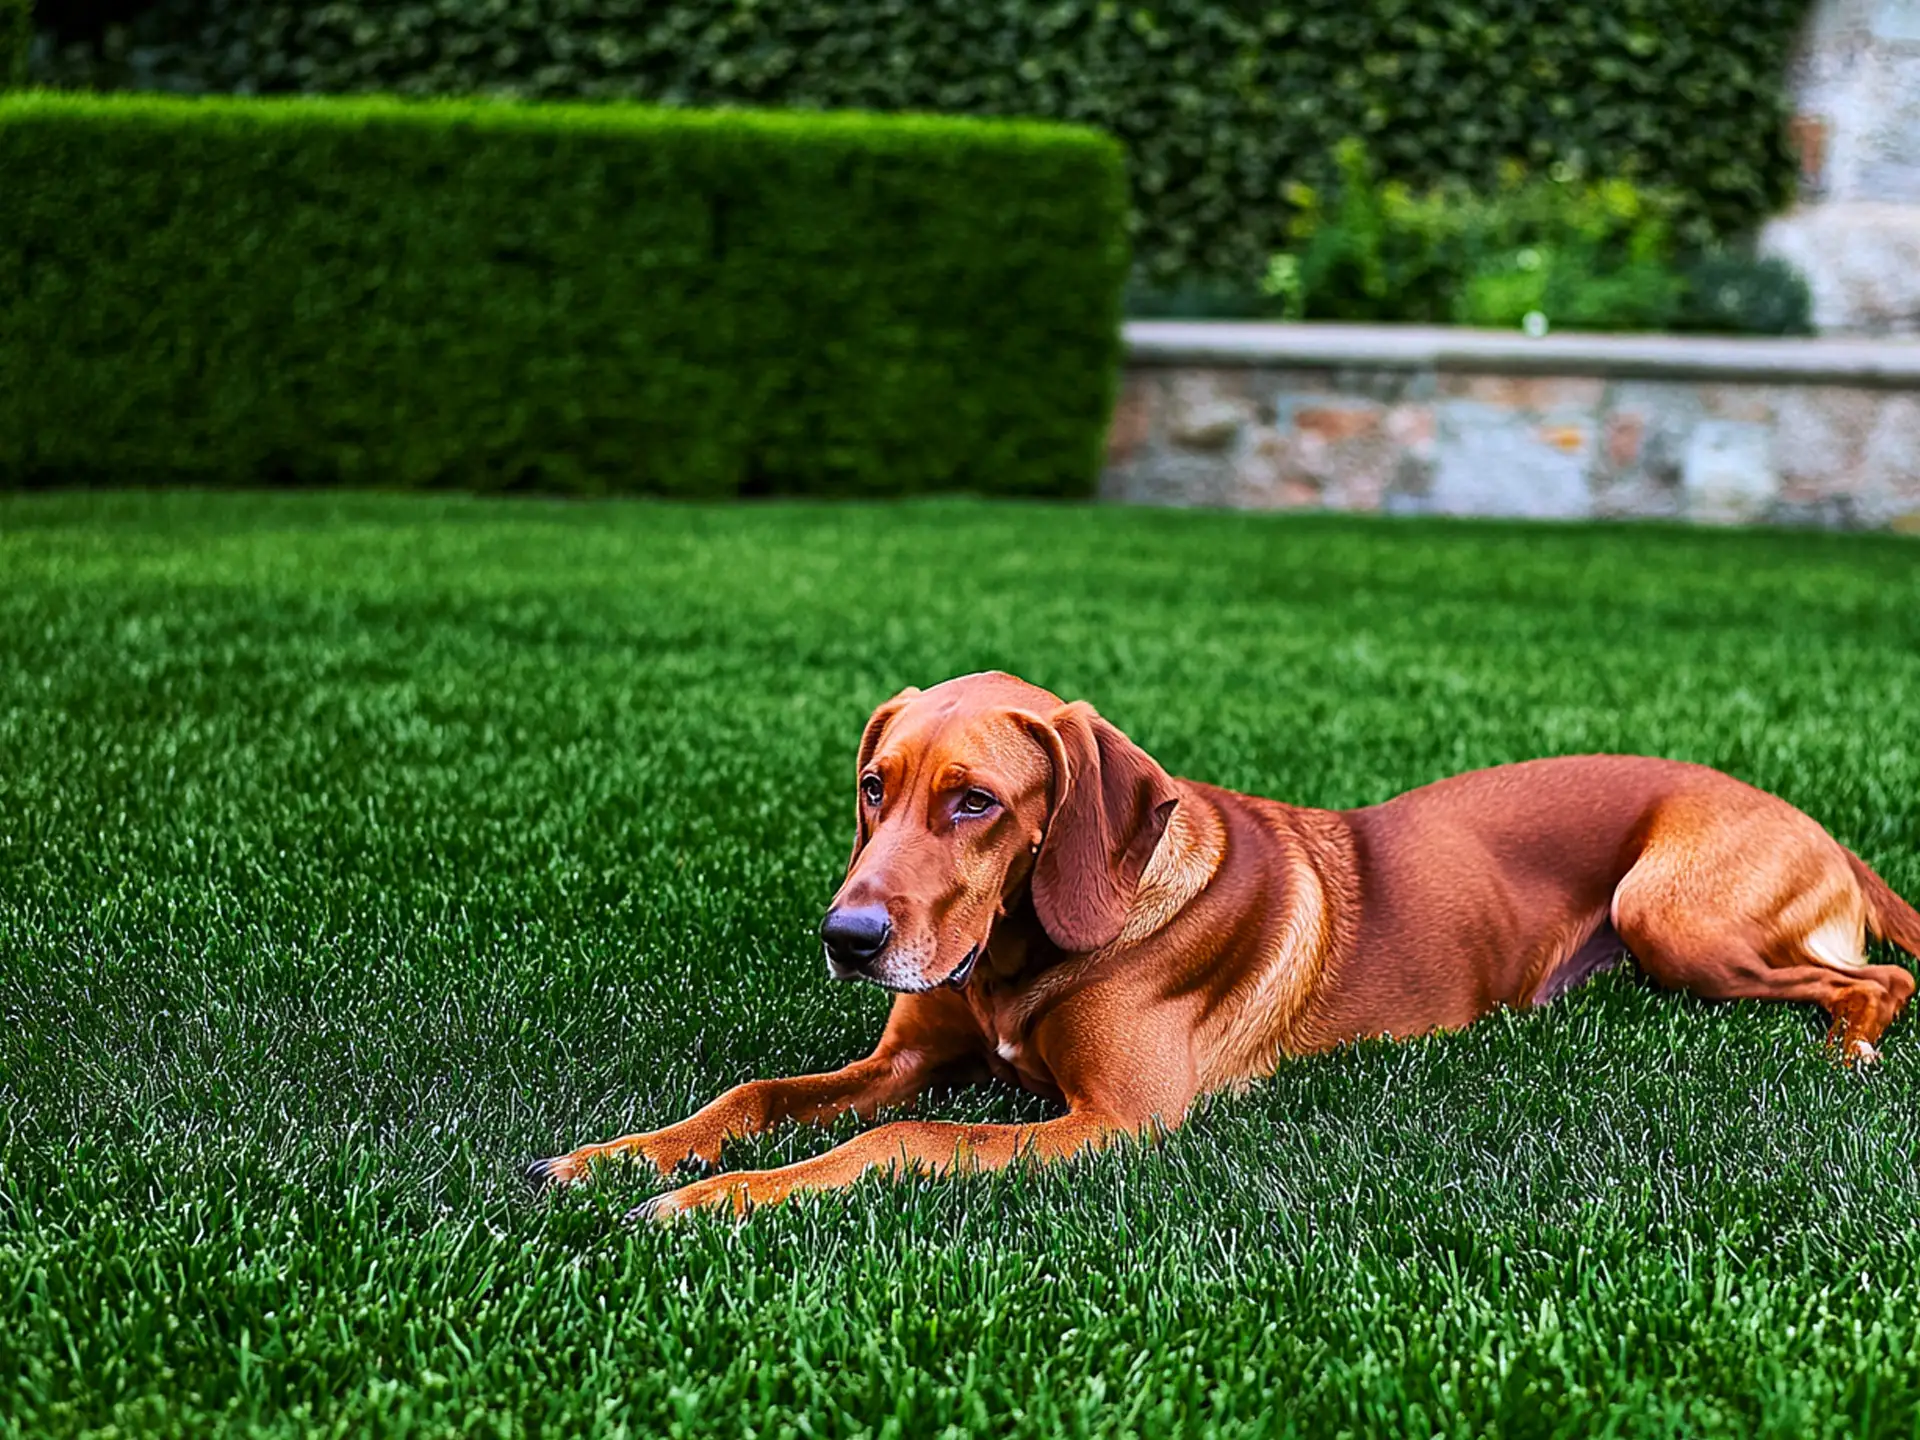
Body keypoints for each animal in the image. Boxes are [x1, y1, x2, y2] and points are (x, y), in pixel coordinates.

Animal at [529, 675, 1920, 1221]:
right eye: (876, 787)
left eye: (975, 802)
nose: (849, 938)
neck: (1025, 957)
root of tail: (1820, 827)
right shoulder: (904, 1053)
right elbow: (758, 1093)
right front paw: (618, 1157)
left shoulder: (1117, 1121)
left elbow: (905, 1138)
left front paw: (703, 1204)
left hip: (1676, 915)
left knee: (1885, 974)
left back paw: (1844, 1052)